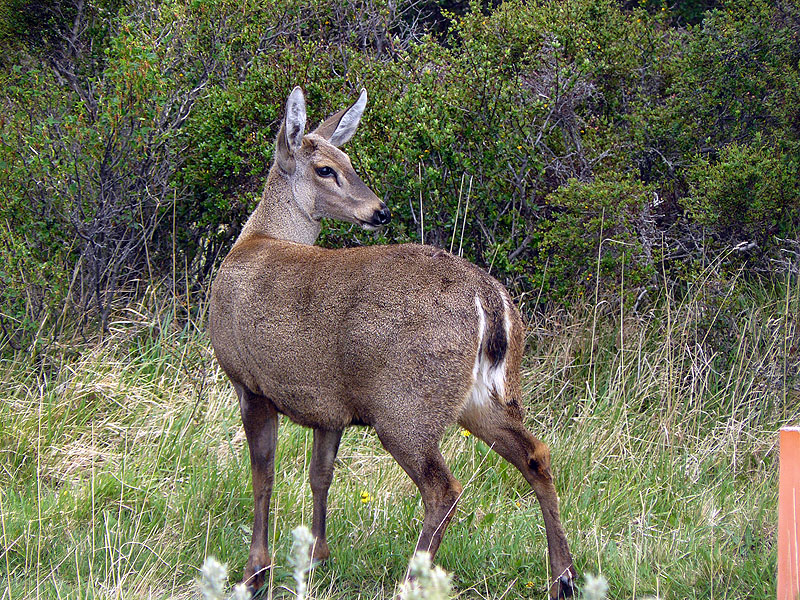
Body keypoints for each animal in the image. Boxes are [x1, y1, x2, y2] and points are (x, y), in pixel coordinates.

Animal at [209, 86, 580, 596]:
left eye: (347, 160)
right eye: (326, 167)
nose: (379, 211)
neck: (258, 239)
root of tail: (489, 298)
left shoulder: (250, 382)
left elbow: (262, 475)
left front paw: (255, 573)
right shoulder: (330, 407)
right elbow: (320, 475)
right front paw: (318, 556)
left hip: (405, 407)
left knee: (444, 489)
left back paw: (411, 580)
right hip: (485, 396)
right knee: (536, 455)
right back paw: (564, 576)